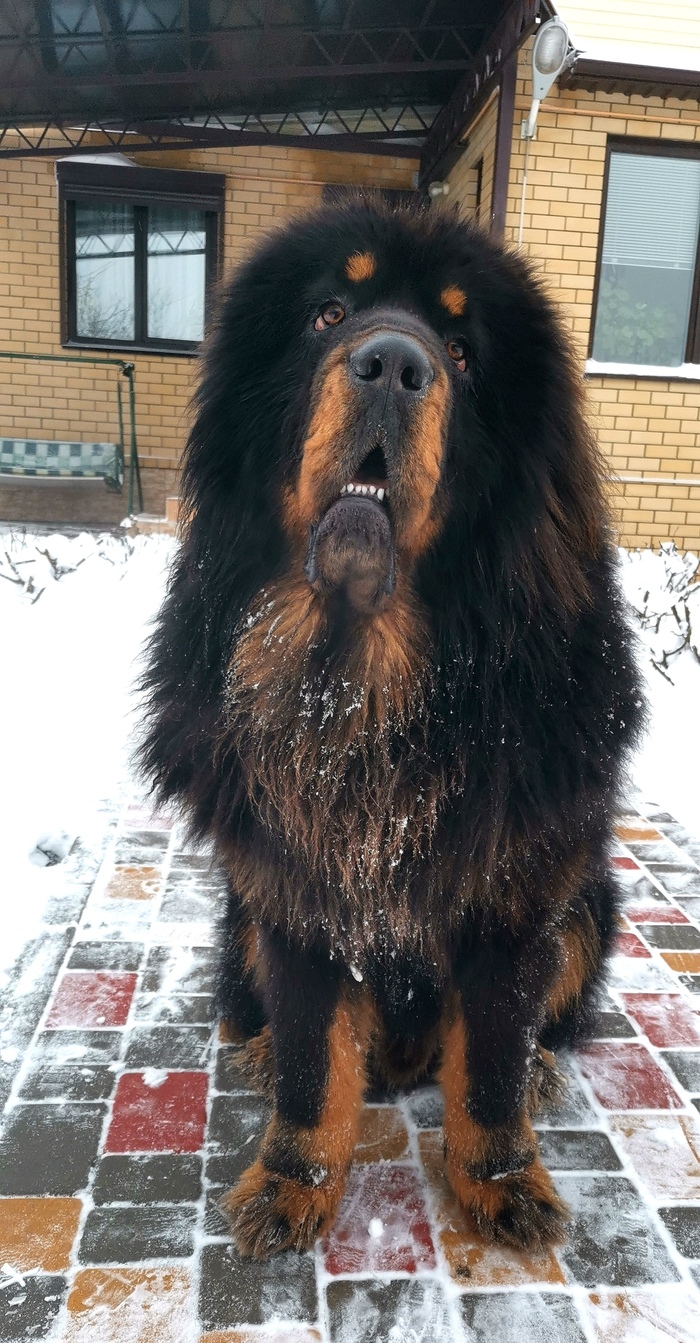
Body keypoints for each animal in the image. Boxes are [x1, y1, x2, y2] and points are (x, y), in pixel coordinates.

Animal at [140, 196, 644, 1257]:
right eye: (329, 313)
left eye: (459, 347)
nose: (393, 364)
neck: (363, 678)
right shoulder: (294, 891)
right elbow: (312, 1053)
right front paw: (291, 1180)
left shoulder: (514, 897)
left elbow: (490, 1058)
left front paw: (502, 1177)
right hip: (241, 917)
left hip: (588, 905)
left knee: (540, 1025)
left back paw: (541, 1071)